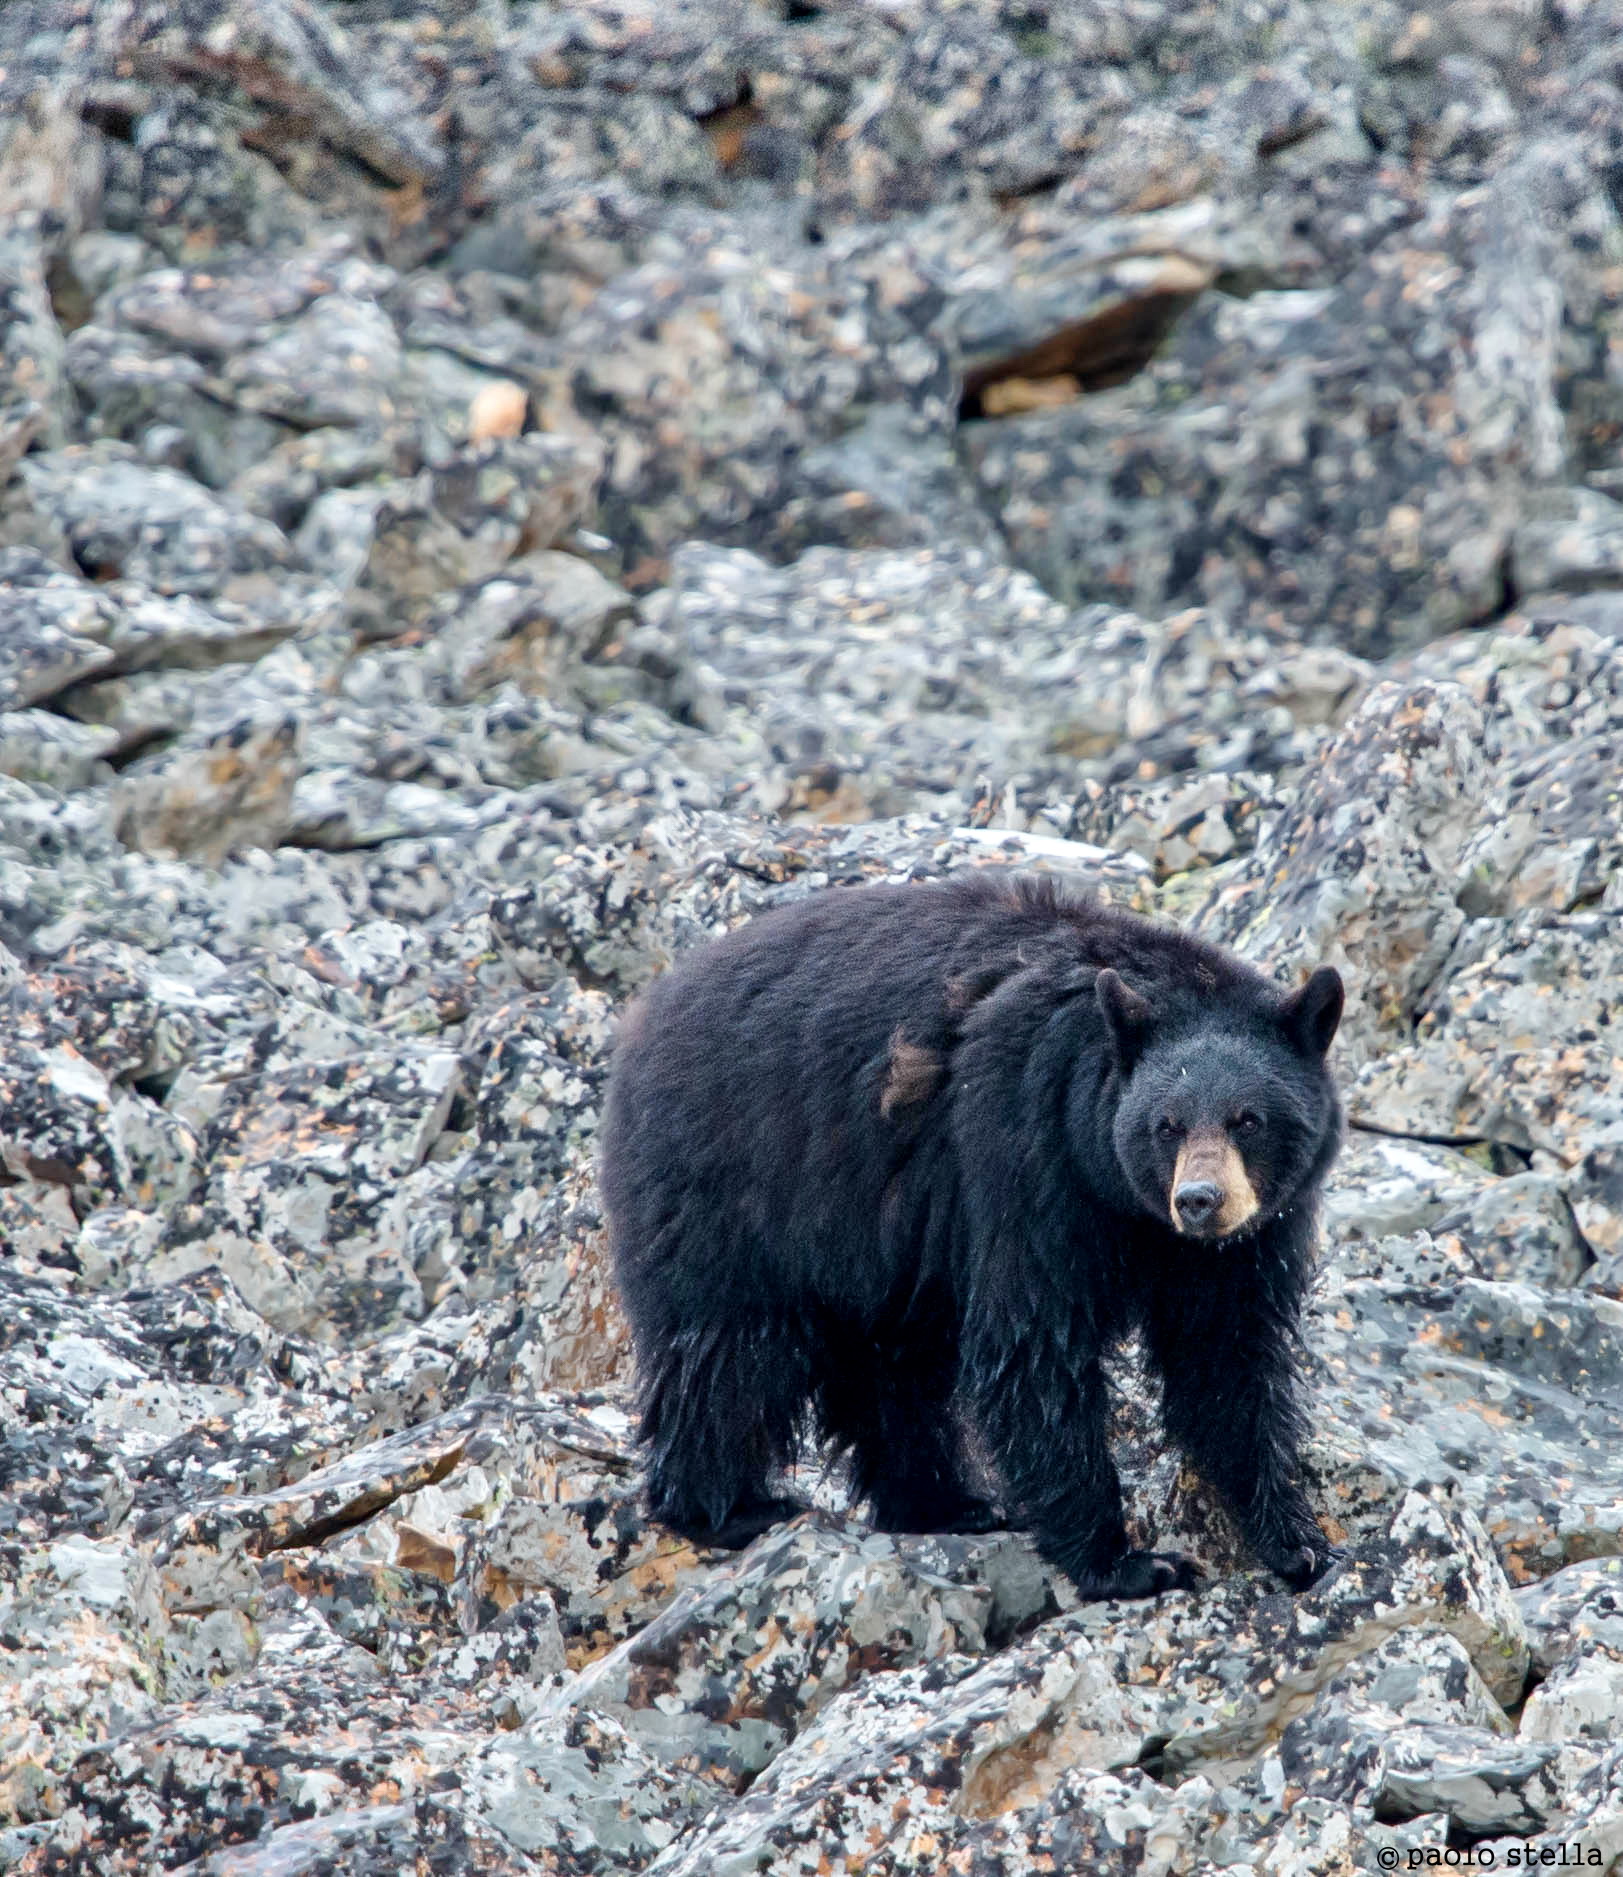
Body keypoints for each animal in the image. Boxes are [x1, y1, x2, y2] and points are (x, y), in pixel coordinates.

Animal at [598, 870, 1345, 1600]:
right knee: (730, 1349)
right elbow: (1034, 1342)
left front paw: (1296, 1541)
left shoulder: (1244, 1243)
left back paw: (945, 1504)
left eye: (1248, 1119)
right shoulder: (1028, 1149)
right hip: (734, 1187)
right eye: (1166, 1125)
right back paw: (728, 1508)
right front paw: (1125, 1562)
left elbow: (1226, 1357)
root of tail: (644, 1015)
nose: (1198, 1201)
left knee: (890, 1360)